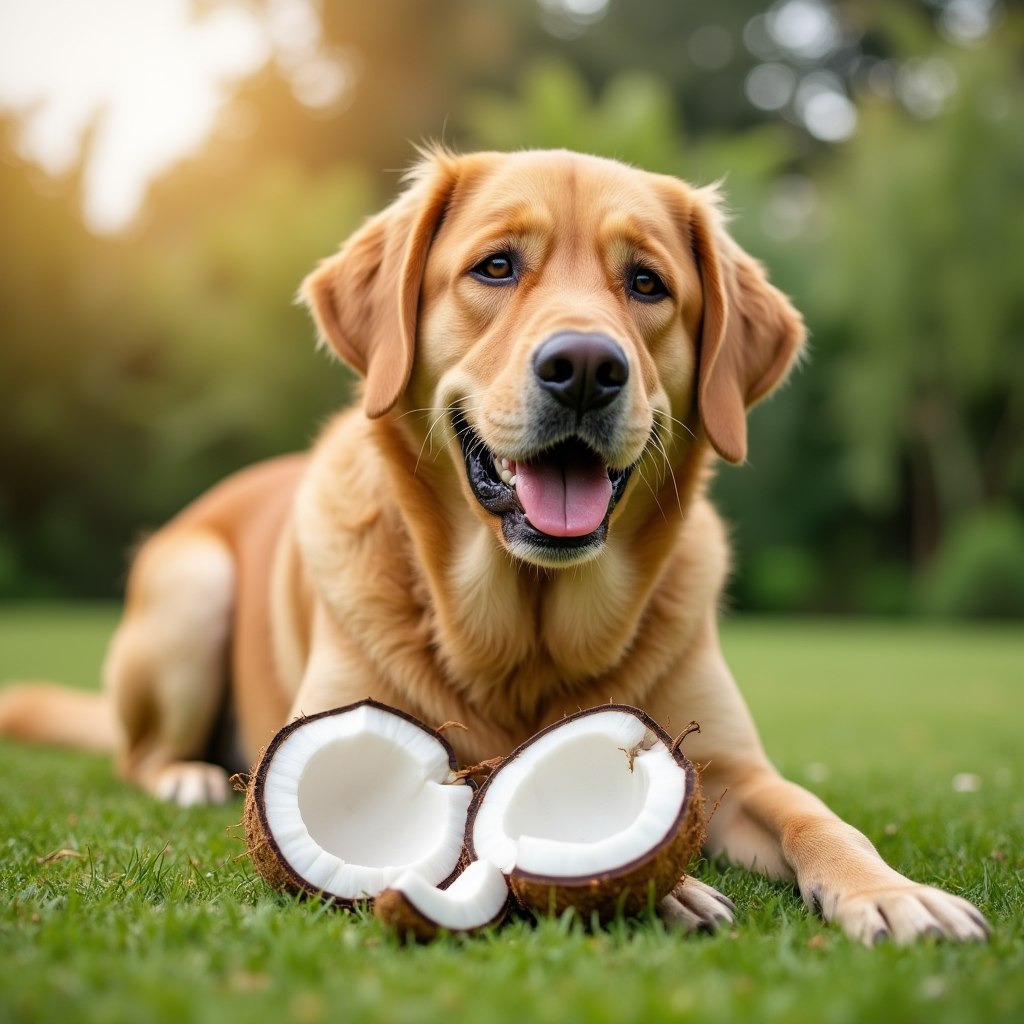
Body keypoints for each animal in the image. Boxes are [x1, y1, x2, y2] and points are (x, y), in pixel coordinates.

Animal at [2, 144, 991, 942]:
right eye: (497, 266)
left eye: (647, 284)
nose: (585, 367)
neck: (530, 632)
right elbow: (477, 799)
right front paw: (666, 888)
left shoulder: (734, 769)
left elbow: (817, 815)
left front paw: (892, 891)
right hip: (192, 585)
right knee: (136, 754)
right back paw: (190, 775)